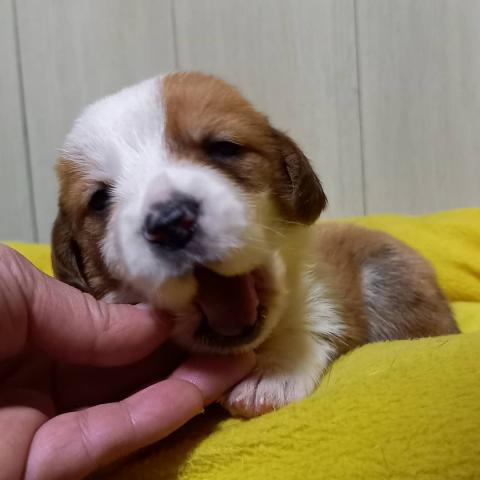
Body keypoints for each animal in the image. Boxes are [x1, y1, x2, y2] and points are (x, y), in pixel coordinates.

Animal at [51, 72, 458, 418]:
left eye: (223, 148)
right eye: (99, 200)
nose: (170, 222)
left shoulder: (323, 291)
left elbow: (312, 318)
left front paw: (271, 372)